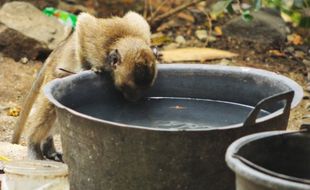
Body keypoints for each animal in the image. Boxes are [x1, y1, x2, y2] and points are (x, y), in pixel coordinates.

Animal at [11, 11, 157, 161]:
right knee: (49, 106)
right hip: (54, 74)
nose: (134, 100)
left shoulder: (141, 30)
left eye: (143, 90)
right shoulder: (97, 45)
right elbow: (83, 23)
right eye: (127, 88)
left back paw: (48, 148)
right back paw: (33, 145)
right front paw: (86, 68)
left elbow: (135, 17)